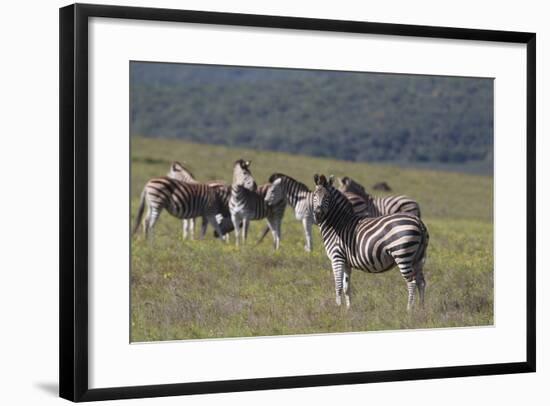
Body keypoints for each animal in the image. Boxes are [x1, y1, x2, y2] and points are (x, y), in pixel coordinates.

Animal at [312, 173, 430, 310]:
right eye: (314, 195)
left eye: (328, 197)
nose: (318, 215)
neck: (338, 223)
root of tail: (418, 222)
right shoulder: (346, 262)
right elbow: (347, 287)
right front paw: (348, 309)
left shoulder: (337, 257)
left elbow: (338, 286)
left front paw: (338, 308)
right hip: (417, 258)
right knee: (421, 282)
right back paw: (421, 309)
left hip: (402, 254)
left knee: (412, 283)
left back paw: (409, 310)